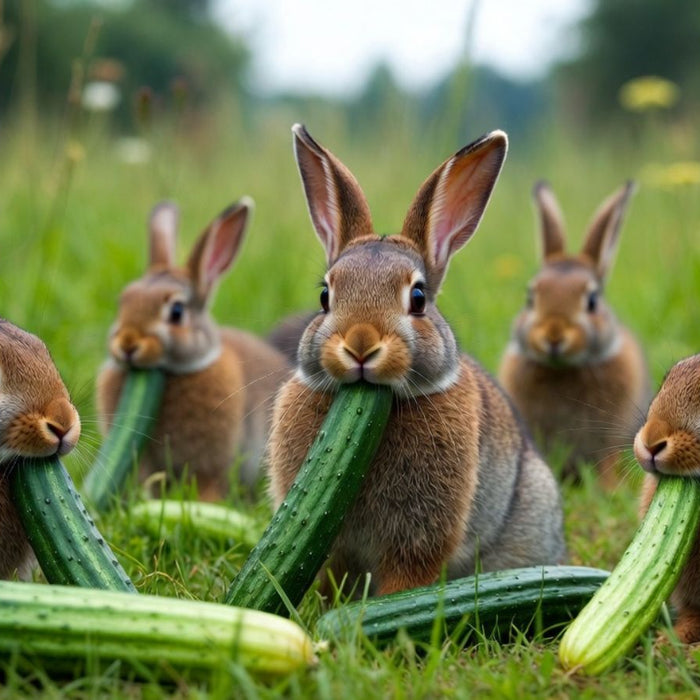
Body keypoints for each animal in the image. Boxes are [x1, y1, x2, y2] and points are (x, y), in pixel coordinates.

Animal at [498, 181, 650, 487]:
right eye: (530, 298)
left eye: (592, 301)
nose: (554, 336)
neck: (562, 369)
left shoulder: (609, 437)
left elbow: (606, 462)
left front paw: (608, 489)